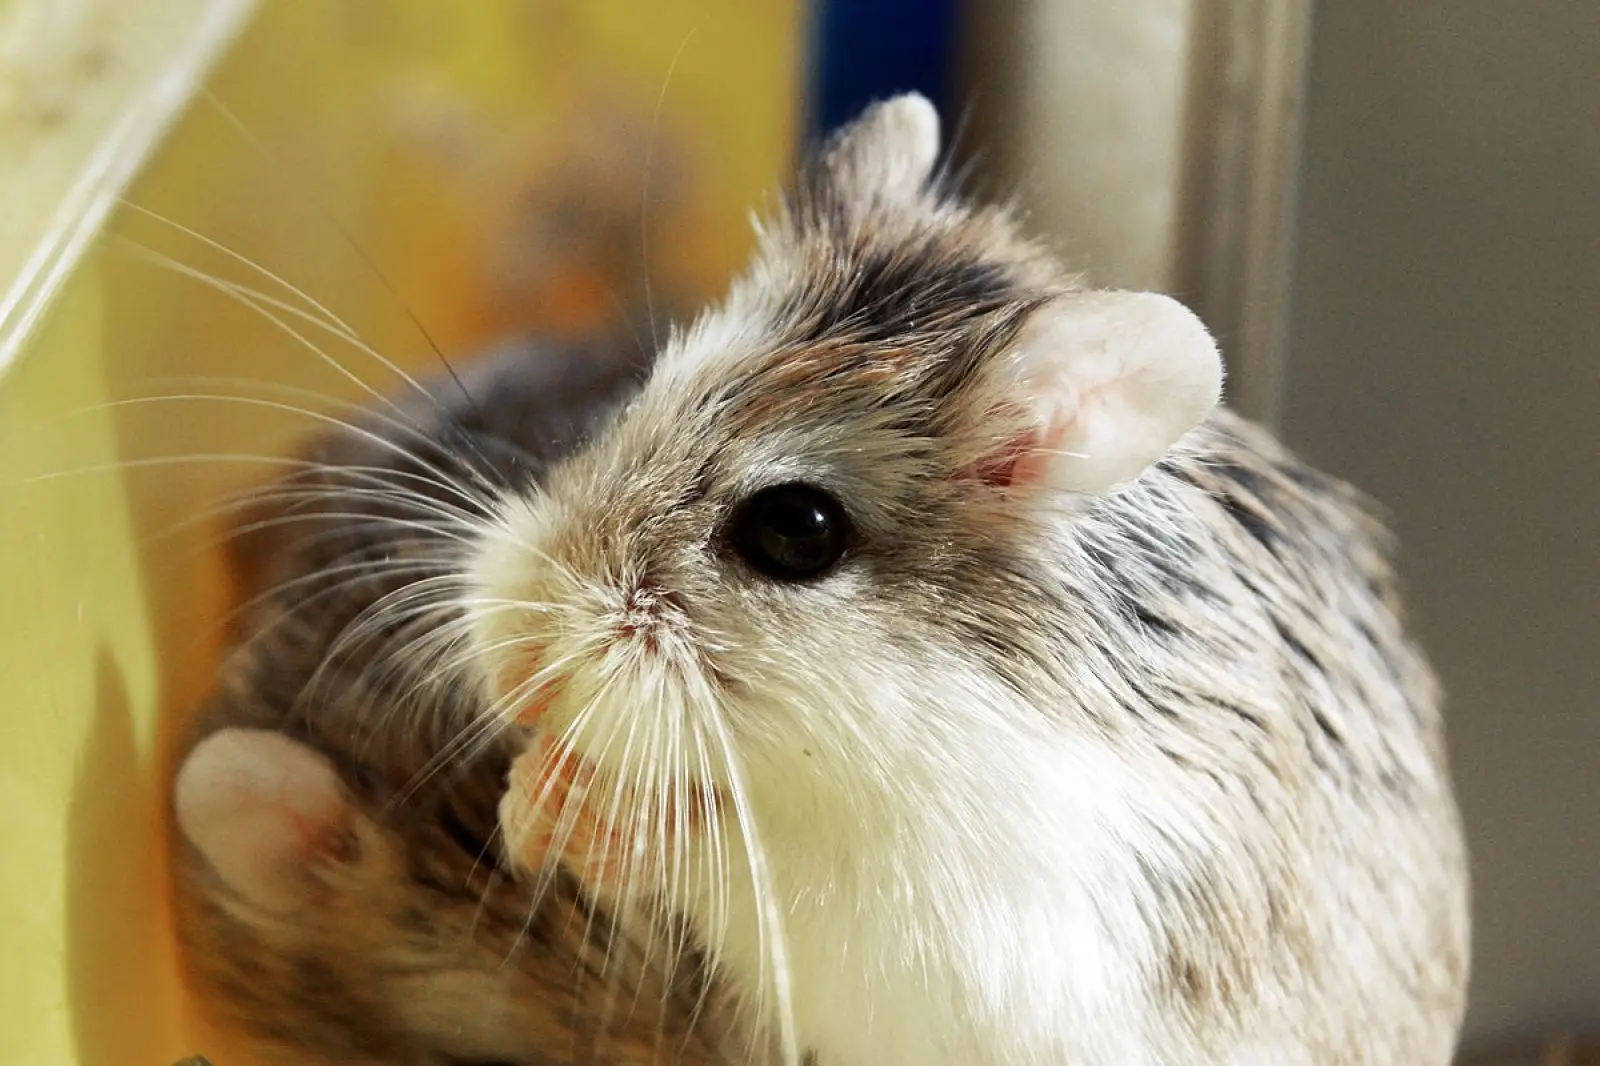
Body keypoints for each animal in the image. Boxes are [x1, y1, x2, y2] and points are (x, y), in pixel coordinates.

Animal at [468, 95, 1470, 1065]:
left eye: (795, 530)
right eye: (634, 398)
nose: (515, 669)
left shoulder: (949, 923)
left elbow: (732, 859)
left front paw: (561, 803)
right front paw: (527, 798)